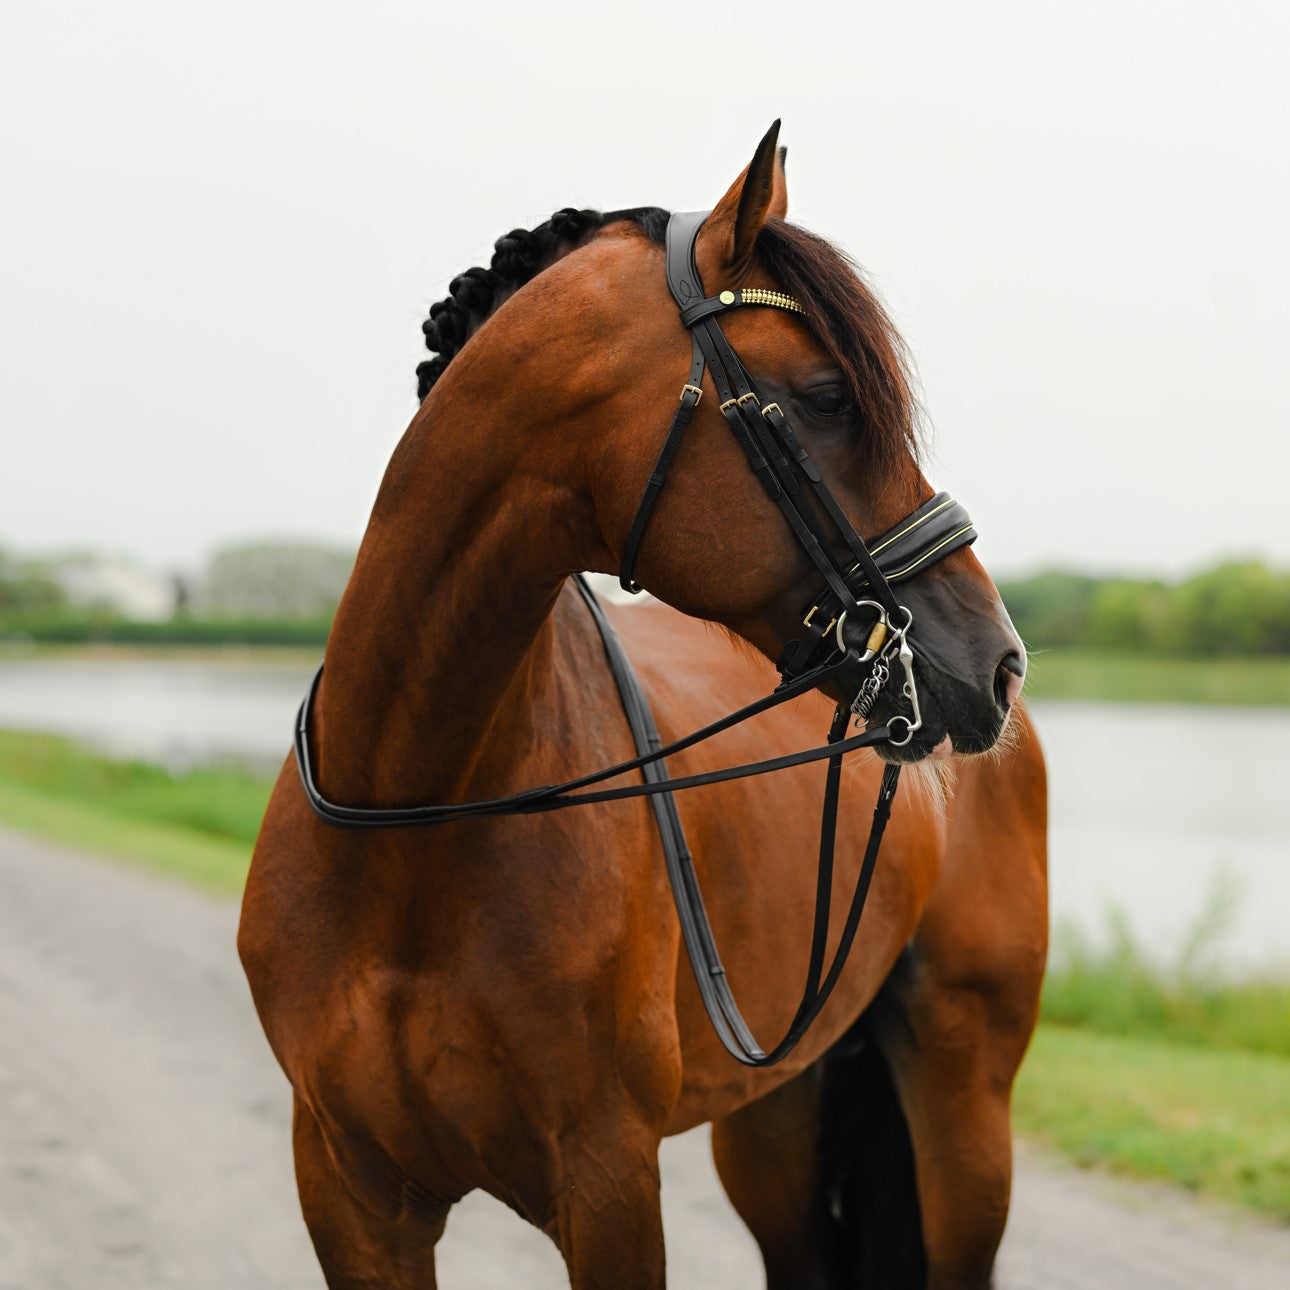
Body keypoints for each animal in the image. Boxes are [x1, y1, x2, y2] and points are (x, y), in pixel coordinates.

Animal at [239, 123, 1048, 1289]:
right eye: (826, 396)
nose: (995, 666)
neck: (411, 830)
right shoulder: (352, 1195)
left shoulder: (608, 1185)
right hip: (777, 1112)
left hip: (964, 1105)